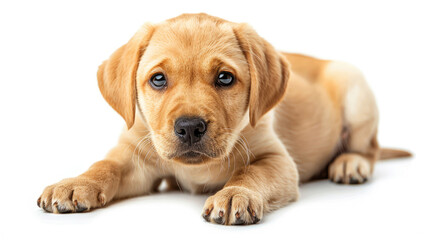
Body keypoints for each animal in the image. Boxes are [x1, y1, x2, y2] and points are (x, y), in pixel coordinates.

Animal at [38, 12, 410, 223]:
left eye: (225, 78)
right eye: (158, 79)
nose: (189, 127)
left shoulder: (277, 159)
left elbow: (251, 172)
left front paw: (235, 194)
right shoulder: (135, 154)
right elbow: (105, 166)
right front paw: (75, 184)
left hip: (355, 88)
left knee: (369, 147)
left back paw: (350, 163)